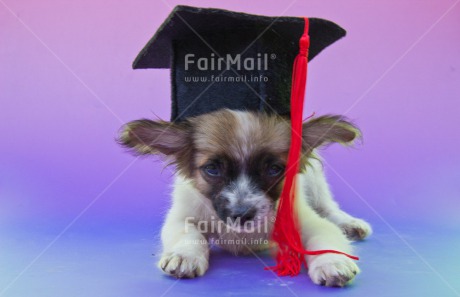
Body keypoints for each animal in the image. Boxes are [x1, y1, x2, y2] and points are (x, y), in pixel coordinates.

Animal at [118, 109, 370, 286]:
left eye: (274, 169)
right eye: (212, 169)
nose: (241, 214)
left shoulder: (307, 221)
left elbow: (324, 236)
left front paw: (332, 261)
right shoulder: (181, 217)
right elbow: (189, 234)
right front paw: (183, 255)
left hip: (316, 181)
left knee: (328, 207)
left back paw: (350, 223)